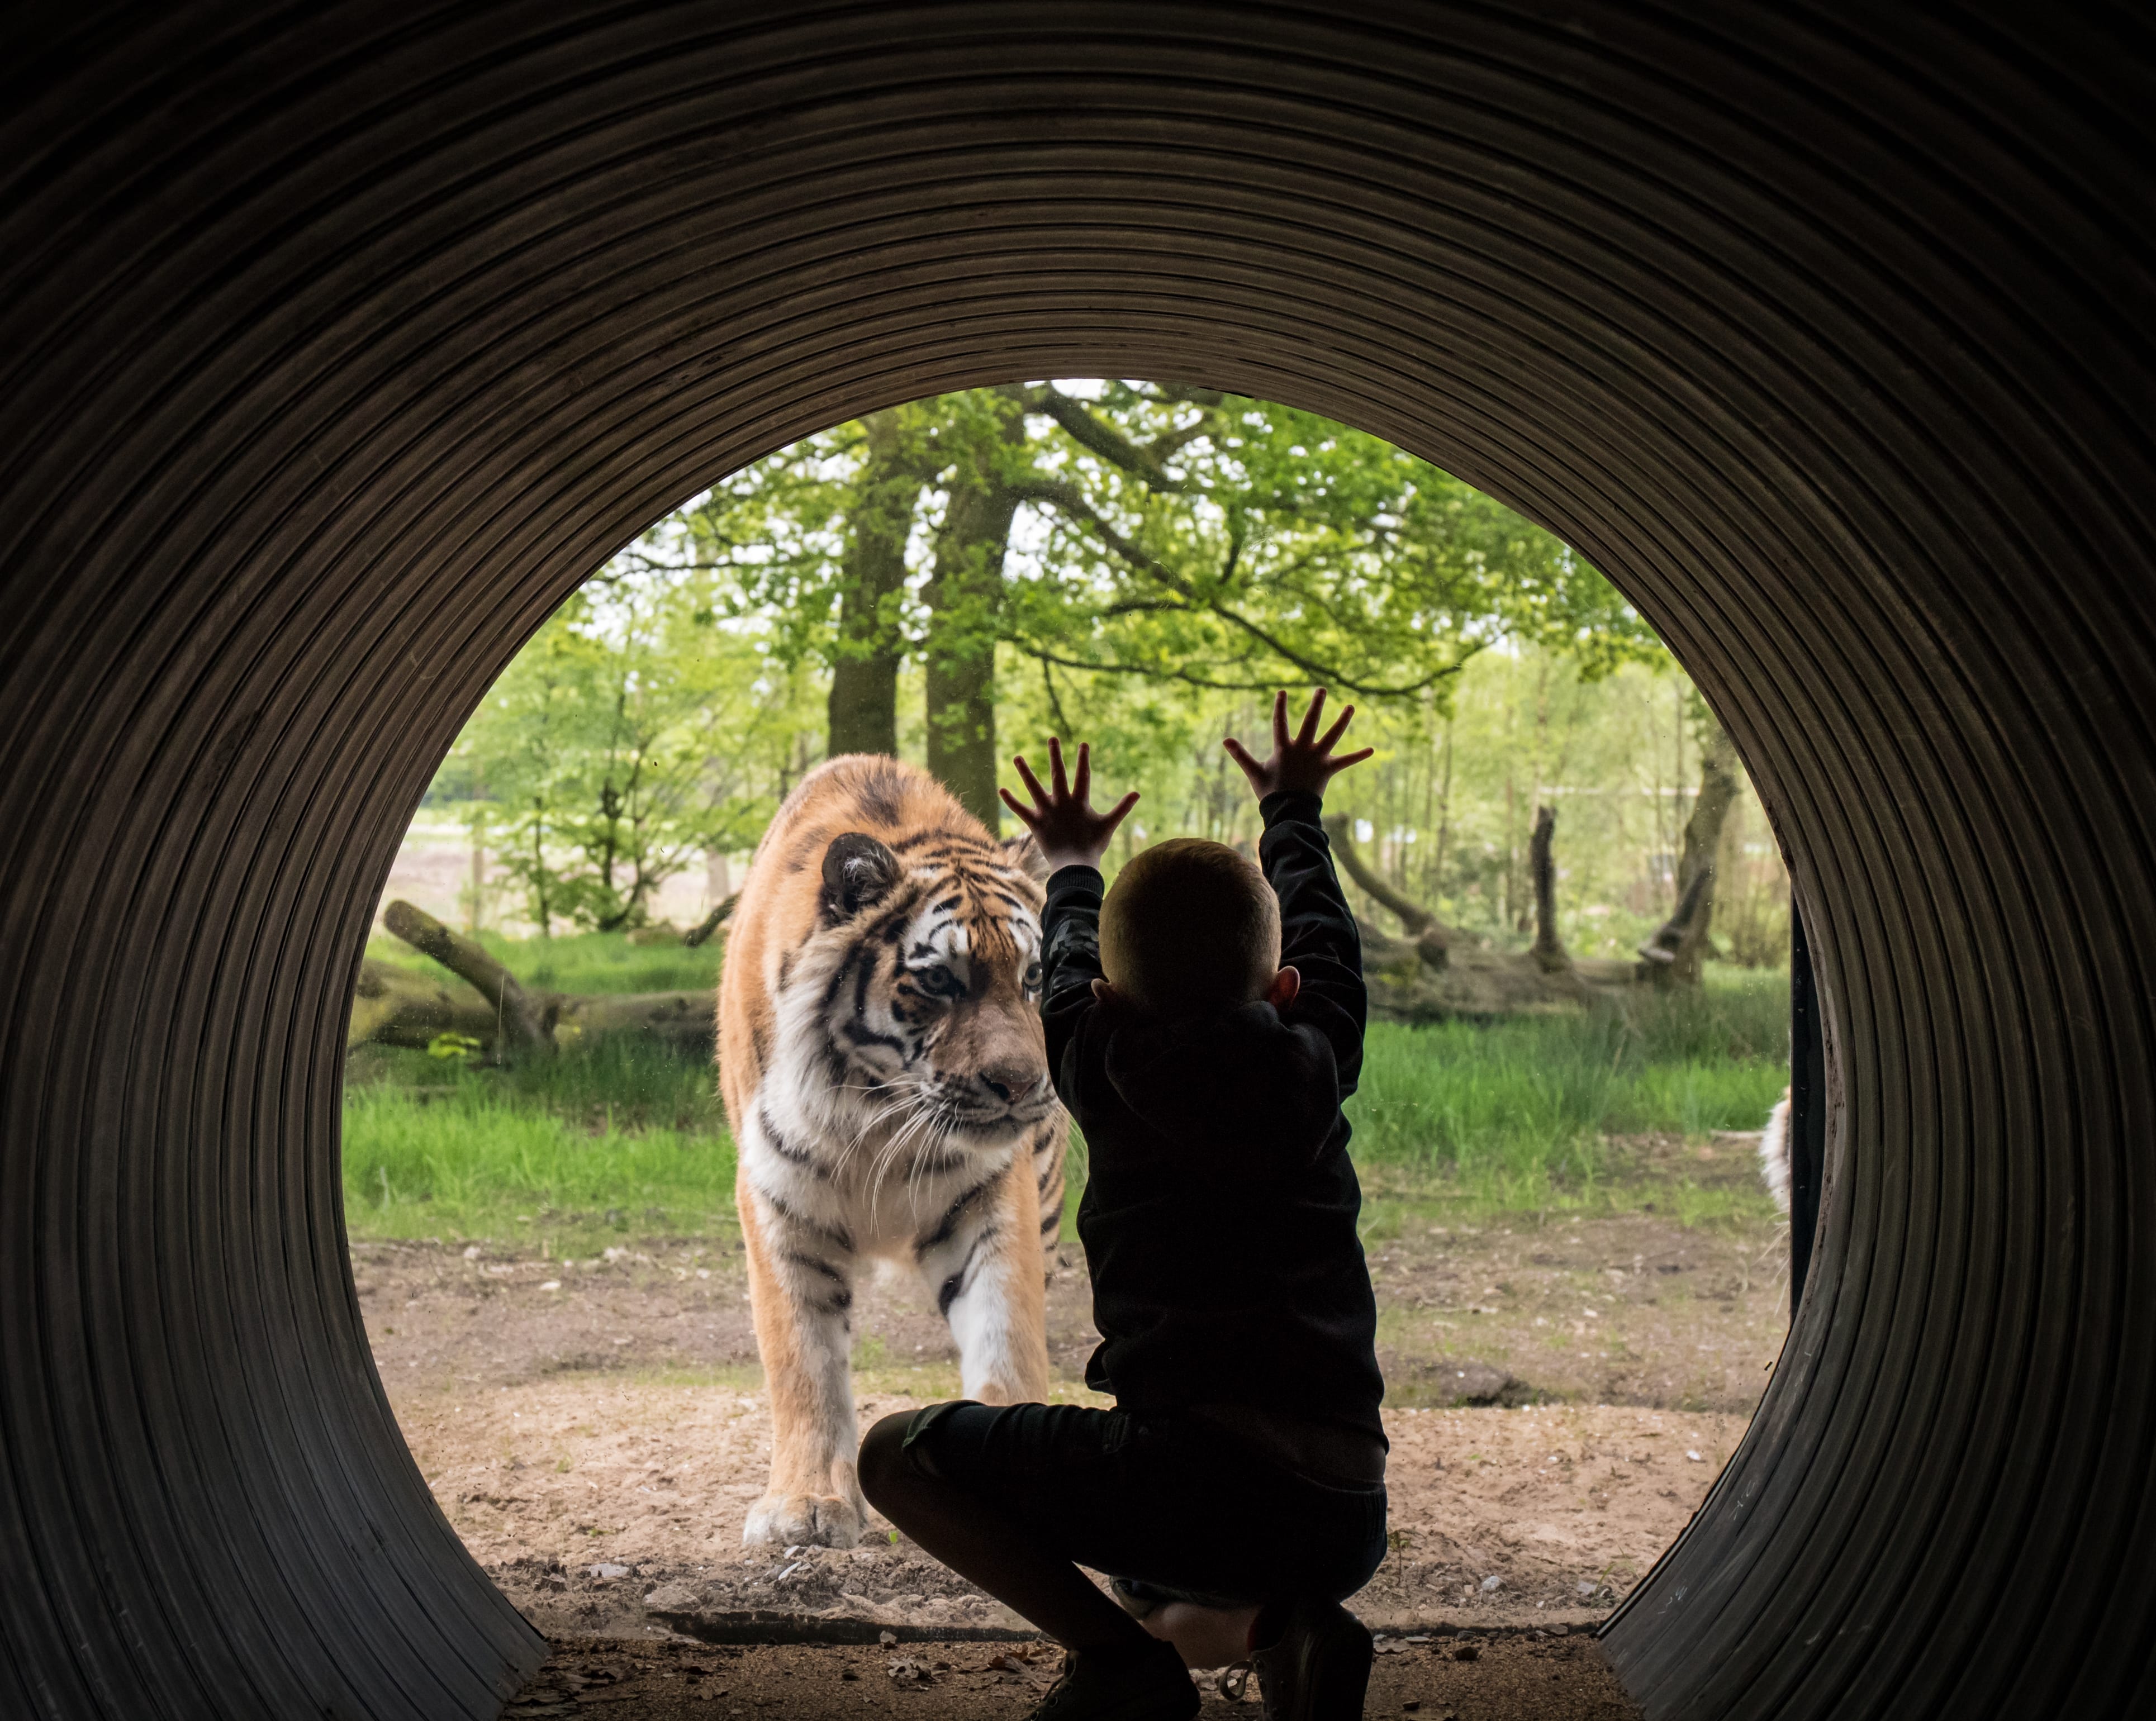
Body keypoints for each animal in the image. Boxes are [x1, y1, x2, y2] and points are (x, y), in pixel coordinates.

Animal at [720, 754, 1065, 1552]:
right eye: (939, 980)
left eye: (1034, 976)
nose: (1021, 1084)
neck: (881, 1118)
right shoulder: (777, 1200)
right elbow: (804, 1362)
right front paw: (806, 1504)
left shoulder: (992, 1195)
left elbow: (1007, 1330)